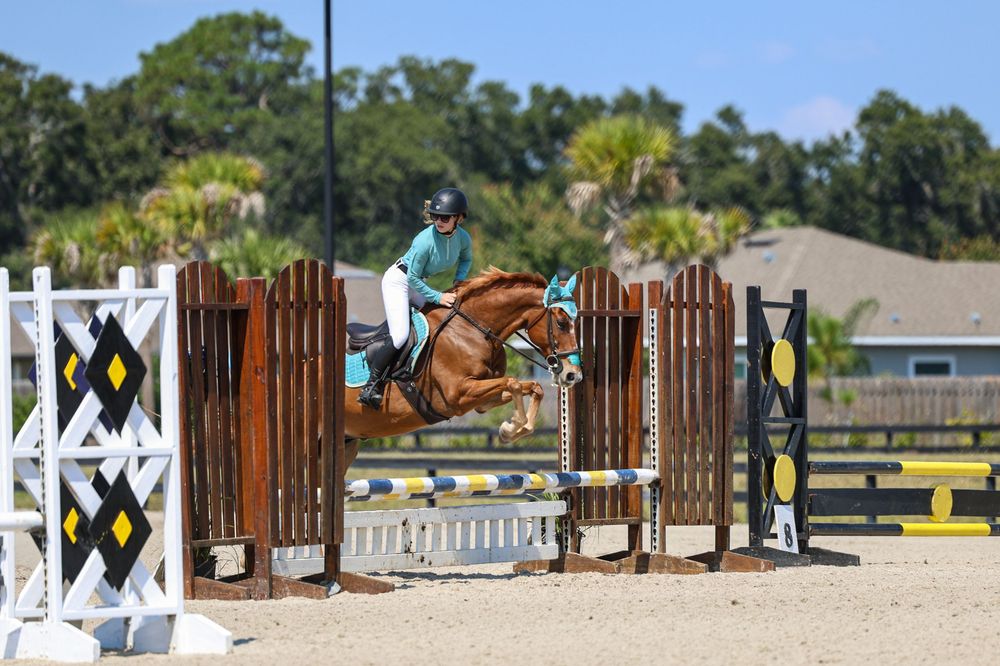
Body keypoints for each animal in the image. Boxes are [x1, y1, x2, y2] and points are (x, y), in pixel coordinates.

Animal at [344, 268, 583, 466]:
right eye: (561, 323)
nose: (573, 376)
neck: (472, 329)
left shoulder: (481, 399)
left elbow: (533, 387)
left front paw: (512, 430)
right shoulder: (458, 394)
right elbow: (513, 382)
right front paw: (512, 427)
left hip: (349, 442)